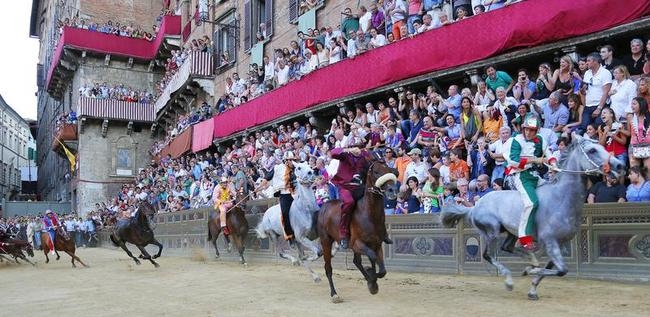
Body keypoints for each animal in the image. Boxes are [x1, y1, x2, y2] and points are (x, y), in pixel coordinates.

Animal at [316, 158, 398, 302]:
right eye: (376, 172)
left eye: (389, 170)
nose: (392, 190)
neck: (369, 215)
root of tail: (324, 205)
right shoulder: (357, 244)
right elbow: (372, 257)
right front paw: (371, 277)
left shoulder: (377, 244)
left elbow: (382, 269)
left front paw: (372, 282)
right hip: (326, 241)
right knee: (328, 268)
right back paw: (334, 294)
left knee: (356, 261)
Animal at [440, 133, 624, 298]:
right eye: (592, 150)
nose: (619, 165)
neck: (561, 199)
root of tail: (474, 206)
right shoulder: (550, 241)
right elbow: (561, 270)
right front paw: (529, 272)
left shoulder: (561, 244)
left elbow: (551, 268)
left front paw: (533, 286)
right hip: (492, 231)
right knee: (488, 255)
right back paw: (510, 280)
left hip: (512, 233)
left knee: (507, 247)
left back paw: (532, 261)